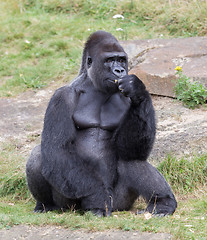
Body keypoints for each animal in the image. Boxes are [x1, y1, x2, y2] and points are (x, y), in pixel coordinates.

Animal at [26, 30, 177, 216]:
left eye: (121, 60)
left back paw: (163, 203)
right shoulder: (61, 97)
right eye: (109, 60)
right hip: (70, 203)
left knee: (130, 160)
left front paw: (139, 91)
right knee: (38, 156)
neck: (94, 85)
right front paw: (97, 197)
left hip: (119, 202)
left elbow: (131, 150)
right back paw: (47, 205)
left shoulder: (125, 97)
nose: (120, 70)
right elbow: (58, 149)